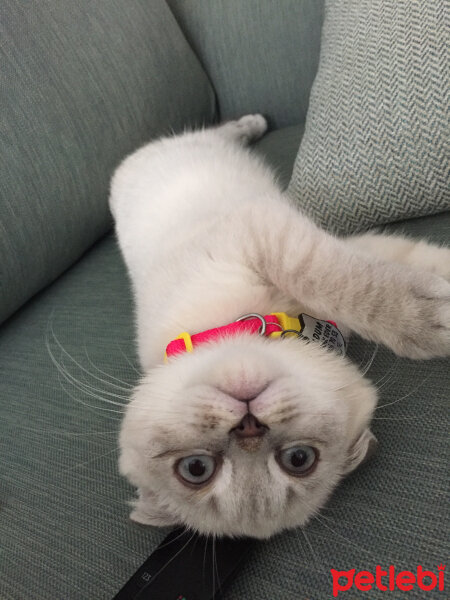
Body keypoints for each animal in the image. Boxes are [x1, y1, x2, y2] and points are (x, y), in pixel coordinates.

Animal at [110, 115, 450, 536]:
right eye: (196, 469)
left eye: (298, 459)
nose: (248, 426)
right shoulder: (272, 233)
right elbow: (360, 279)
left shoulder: (267, 232)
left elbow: (358, 277)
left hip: (195, 149)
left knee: (222, 131)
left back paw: (254, 123)